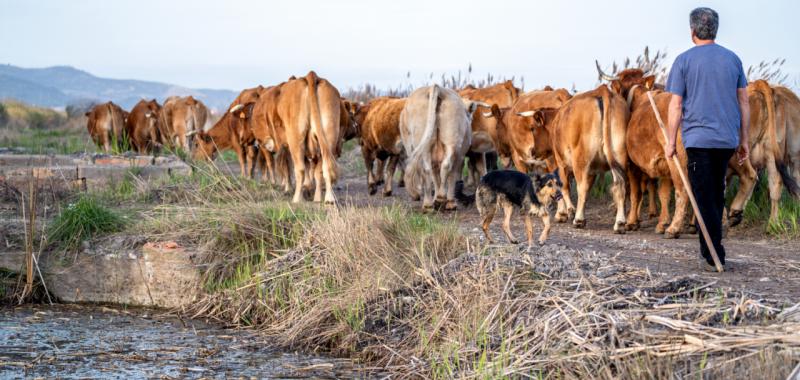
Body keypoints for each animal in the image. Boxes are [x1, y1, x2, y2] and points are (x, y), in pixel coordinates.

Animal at [552, 84, 628, 232]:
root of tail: (602, 90)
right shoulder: (593, 170)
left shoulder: (561, 162)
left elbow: (564, 187)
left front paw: (565, 213)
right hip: (619, 154)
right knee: (620, 185)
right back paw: (620, 223)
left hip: (580, 158)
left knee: (581, 187)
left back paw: (578, 220)